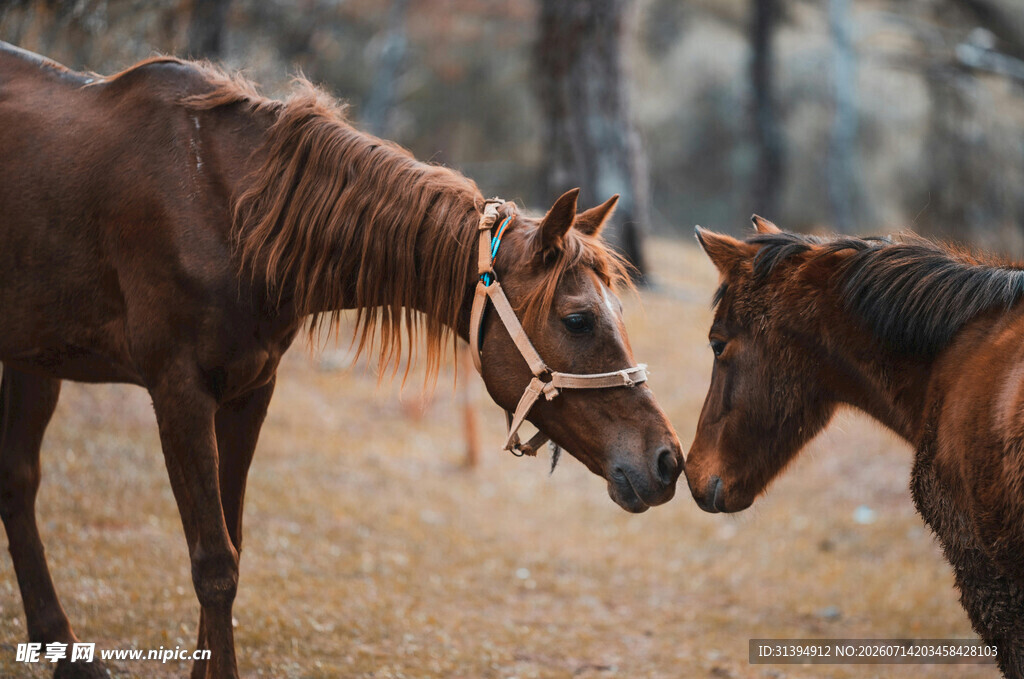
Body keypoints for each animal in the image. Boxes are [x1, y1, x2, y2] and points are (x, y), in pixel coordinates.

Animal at [0, 42, 683, 679]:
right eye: (578, 320)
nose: (667, 460)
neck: (227, 212)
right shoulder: (179, 393)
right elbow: (214, 562)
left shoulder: (250, 390)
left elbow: (231, 544)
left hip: (34, 360)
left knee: (18, 483)